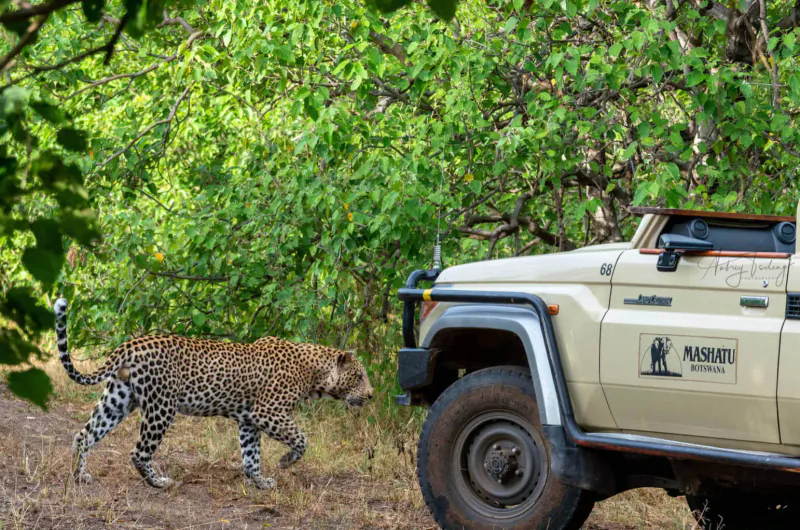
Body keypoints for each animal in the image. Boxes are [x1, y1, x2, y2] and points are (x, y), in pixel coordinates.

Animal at [53, 298, 374, 490]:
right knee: (139, 451)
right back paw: (159, 482)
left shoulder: (248, 420)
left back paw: (80, 475)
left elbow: (251, 456)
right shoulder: (268, 412)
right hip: (161, 407)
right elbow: (301, 439)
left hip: (118, 400)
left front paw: (260, 482)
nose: (371, 395)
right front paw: (285, 462)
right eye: (359, 376)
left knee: (83, 435)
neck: (314, 373)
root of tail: (131, 344)